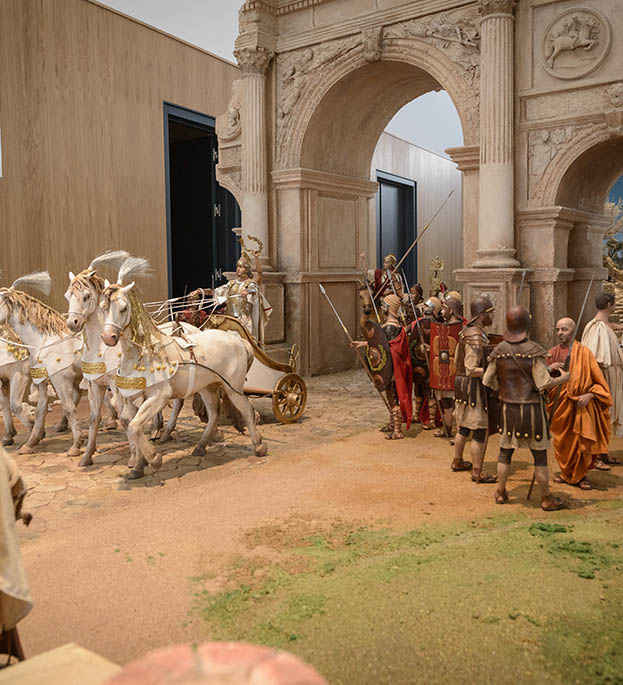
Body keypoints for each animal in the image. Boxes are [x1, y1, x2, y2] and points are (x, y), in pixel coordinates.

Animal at [0, 272, 84, 454]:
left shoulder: (22, 375)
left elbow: (15, 406)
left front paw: (76, 445)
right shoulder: (43, 380)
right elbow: (37, 410)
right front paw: (27, 440)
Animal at [101, 260, 266, 478]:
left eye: (123, 308)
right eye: (103, 307)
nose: (108, 337)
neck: (145, 354)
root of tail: (238, 340)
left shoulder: (159, 396)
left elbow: (135, 426)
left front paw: (154, 458)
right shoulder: (132, 398)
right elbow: (130, 425)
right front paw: (138, 465)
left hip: (233, 387)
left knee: (246, 410)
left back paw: (259, 446)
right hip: (208, 387)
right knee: (214, 412)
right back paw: (201, 446)